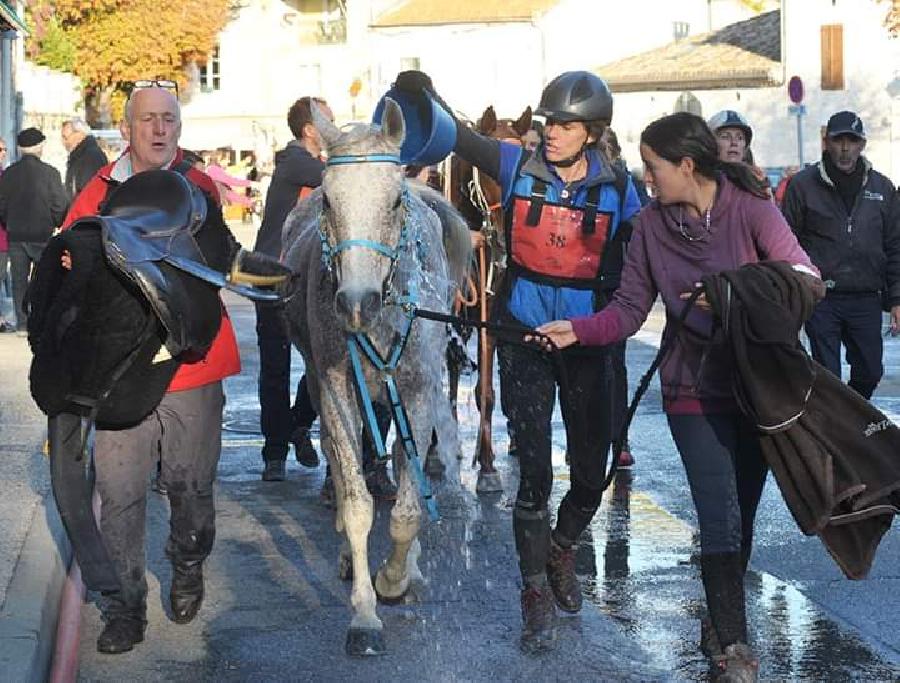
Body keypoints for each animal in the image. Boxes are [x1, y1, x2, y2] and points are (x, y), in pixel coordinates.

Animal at [280, 101, 472, 656]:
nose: (356, 303)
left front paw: (395, 576)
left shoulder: (419, 387)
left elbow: (408, 507)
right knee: (343, 464)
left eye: (392, 201)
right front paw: (365, 611)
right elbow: (357, 500)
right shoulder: (335, 385)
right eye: (327, 201)